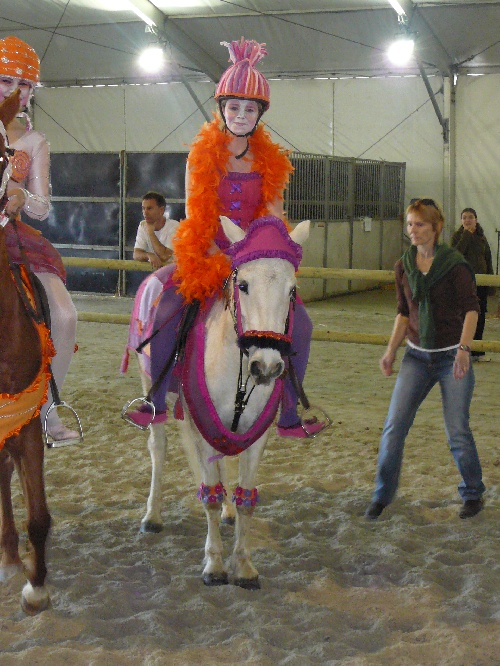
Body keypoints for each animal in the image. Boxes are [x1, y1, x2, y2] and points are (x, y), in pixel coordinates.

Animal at [130, 215, 308, 584]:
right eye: (244, 285)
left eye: (291, 290)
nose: (267, 366)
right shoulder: (199, 424)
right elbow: (208, 493)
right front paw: (214, 565)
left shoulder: (255, 434)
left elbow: (245, 499)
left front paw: (243, 565)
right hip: (153, 391)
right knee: (159, 448)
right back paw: (152, 516)